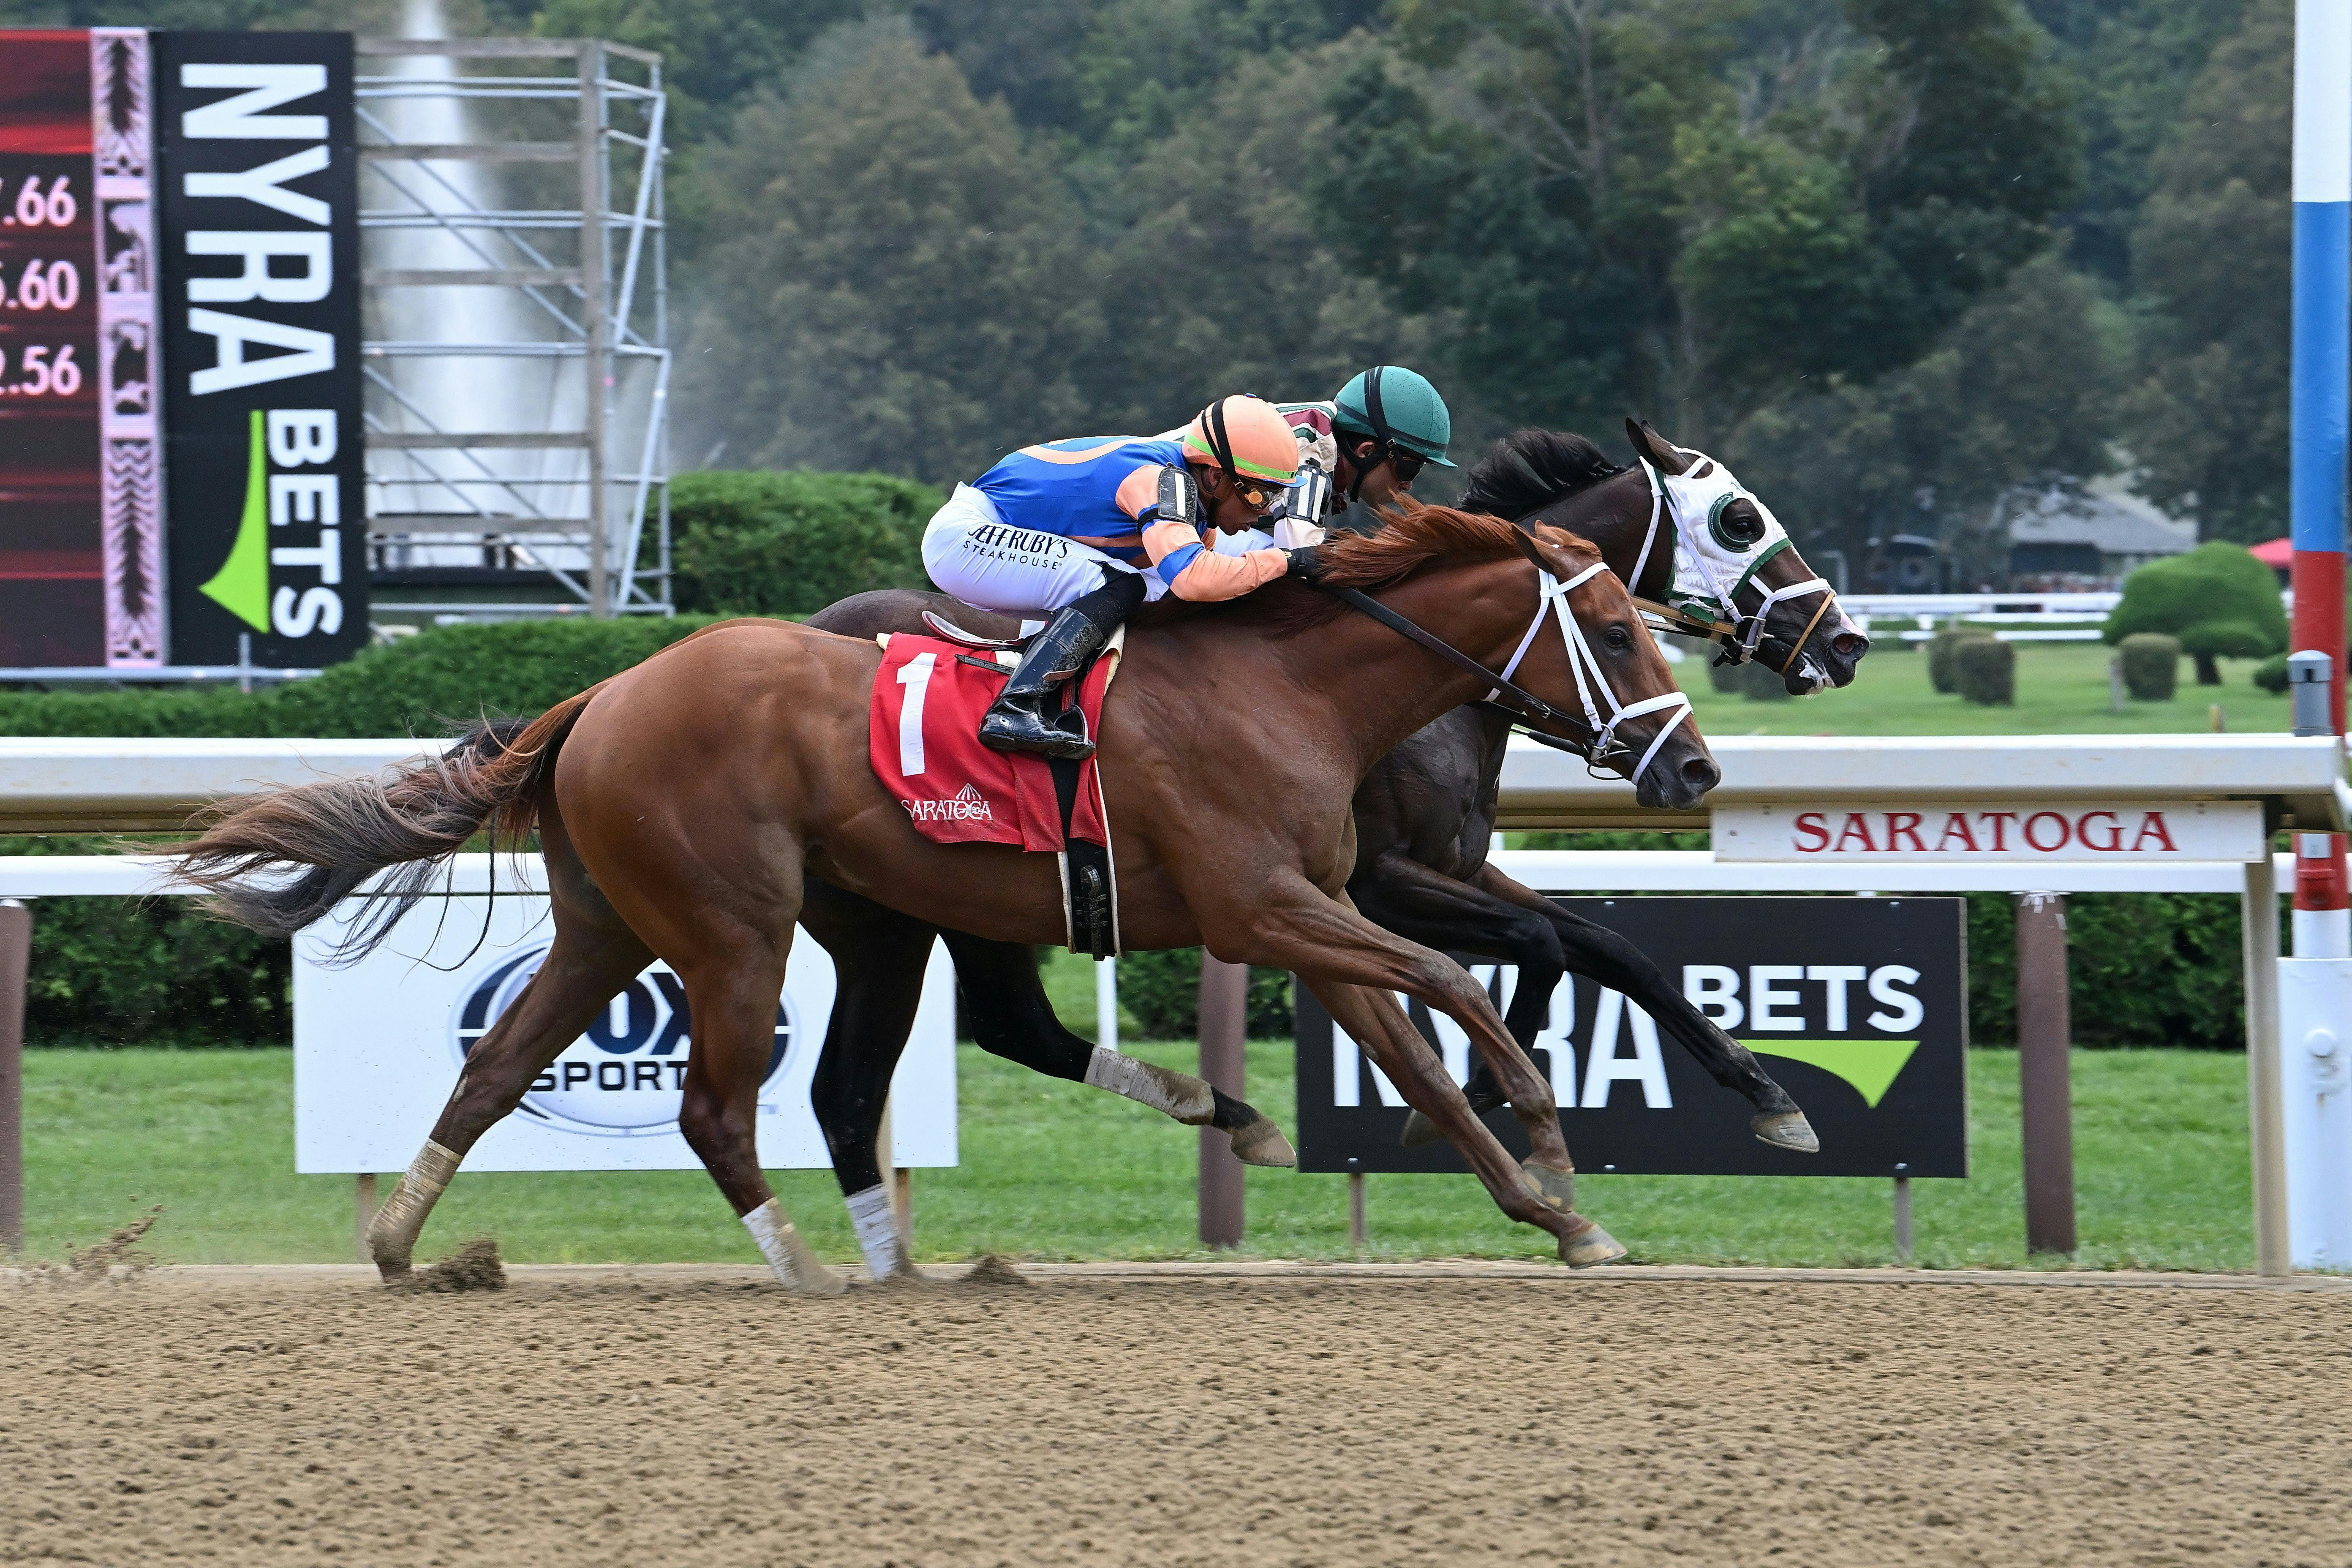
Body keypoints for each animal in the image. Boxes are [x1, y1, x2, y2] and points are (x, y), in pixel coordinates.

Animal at [161, 510, 1712, 1298]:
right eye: (1619, 625)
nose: (1694, 765)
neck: (1287, 684)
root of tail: (603, 689)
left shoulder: (1306, 909)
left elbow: (1419, 1055)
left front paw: (1549, 1211)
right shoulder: (1263, 907)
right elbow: (1448, 993)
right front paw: (1553, 1140)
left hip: (632, 921)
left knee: (499, 1068)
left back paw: (405, 1245)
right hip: (734, 925)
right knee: (717, 1105)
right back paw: (805, 1260)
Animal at [800, 421, 1862, 1203]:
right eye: (1737, 518)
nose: (1844, 642)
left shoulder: (1453, 862)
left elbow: (1606, 946)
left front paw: (1767, 1093)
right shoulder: (1379, 881)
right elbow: (1537, 944)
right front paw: (1475, 1091)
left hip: (961, 892)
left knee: (1010, 1024)